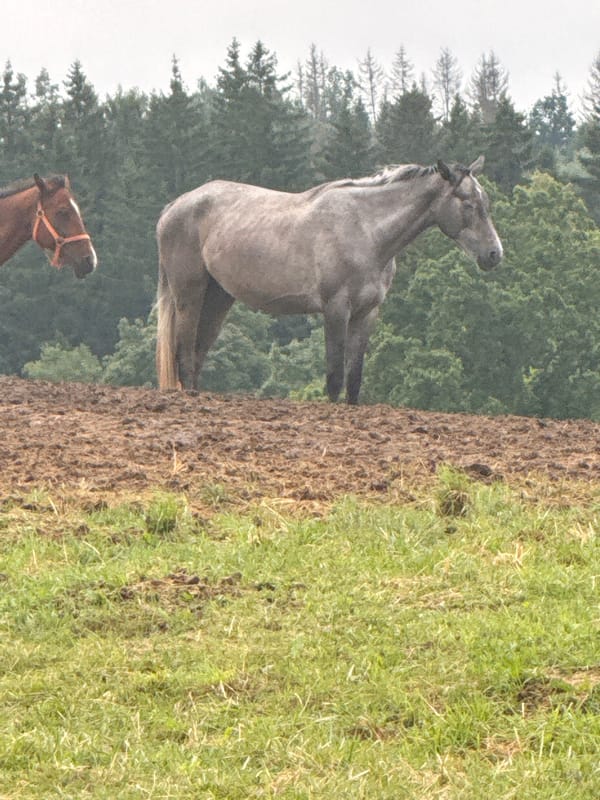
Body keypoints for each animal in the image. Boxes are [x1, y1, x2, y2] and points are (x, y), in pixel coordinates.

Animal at [156, 156, 502, 404]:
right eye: (468, 203)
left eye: (485, 203)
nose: (494, 254)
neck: (365, 230)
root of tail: (174, 207)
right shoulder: (336, 309)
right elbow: (335, 375)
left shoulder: (366, 313)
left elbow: (354, 377)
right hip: (190, 295)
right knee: (184, 349)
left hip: (219, 297)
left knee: (197, 351)